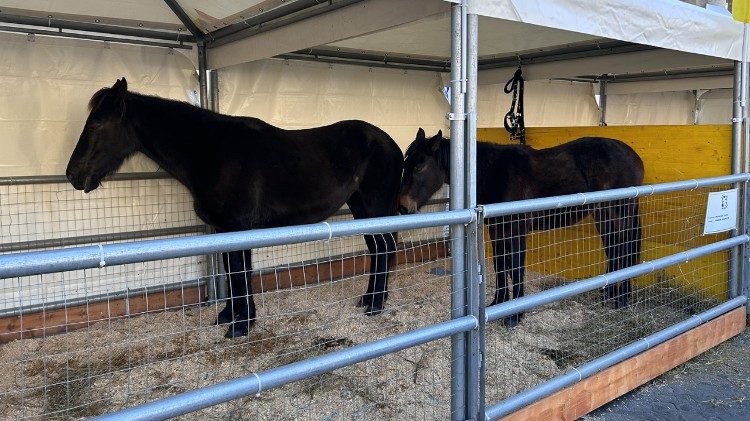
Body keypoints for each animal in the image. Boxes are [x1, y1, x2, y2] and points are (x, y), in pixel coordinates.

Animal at [66, 78, 404, 338]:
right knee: (378, 249)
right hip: (361, 209)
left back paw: (375, 305)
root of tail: (389, 143)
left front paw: (242, 325)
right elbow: (231, 272)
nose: (73, 175)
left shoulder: (238, 227)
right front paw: (230, 316)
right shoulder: (223, 229)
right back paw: (370, 299)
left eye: (97, 124)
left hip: (373, 207)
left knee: (384, 248)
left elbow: (241, 272)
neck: (214, 153)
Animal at [399, 128, 643, 327]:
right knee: (613, 249)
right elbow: (500, 267)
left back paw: (622, 299)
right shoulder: (496, 230)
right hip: (603, 215)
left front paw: (514, 315)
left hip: (619, 213)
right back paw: (608, 294)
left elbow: (516, 268)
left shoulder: (517, 230)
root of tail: (633, 156)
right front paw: (498, 303)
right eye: (405, 165)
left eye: (419, 166)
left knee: (624, 248)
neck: (494, 173)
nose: (402, 207)